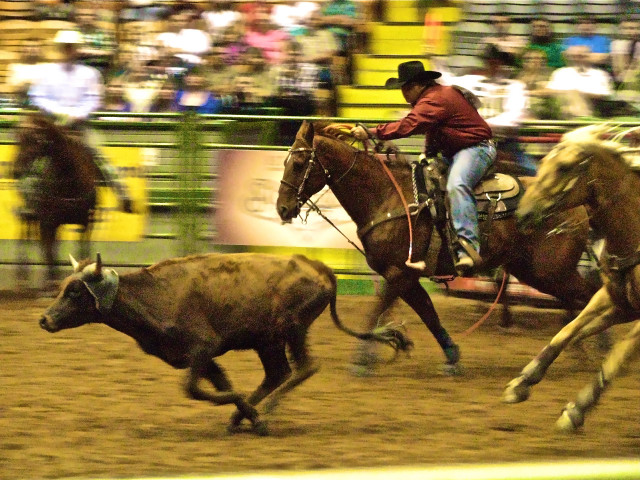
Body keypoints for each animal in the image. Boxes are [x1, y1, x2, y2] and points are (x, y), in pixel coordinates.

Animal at [12, 112, 102, 288]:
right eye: (17, 137)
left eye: (36, 139)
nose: (16, 171)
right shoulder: (47, 221)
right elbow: (49, 251)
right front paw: (50, 281)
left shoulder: (86, 222)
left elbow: (82, 249)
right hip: (30, 213)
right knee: (25, 232)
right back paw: (22, 275)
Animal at [39, 252, 412, 435]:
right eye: (64, 286)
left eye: (75, 291)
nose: (45, 320)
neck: (156, 297)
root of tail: (320, 269)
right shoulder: (202, 357)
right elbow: (222, 384)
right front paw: (247, 415)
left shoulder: (202, 347)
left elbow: (193, 389)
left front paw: (255, 418)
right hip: (266, 340)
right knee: (278, 373)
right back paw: (246, 416)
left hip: (288, 329)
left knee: (304, 367)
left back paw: (269, 409)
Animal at [276, 120, 600, 374]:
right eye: (286, 162)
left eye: (299, 164)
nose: (282, 208)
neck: (388, 196)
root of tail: (577, 202)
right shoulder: (407, 277)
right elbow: (428, 315)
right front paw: (452, 356)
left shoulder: (398, 273)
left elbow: (377, 310)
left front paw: (362, 360)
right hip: (535, 271)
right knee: (577, 300)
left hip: (551, 271)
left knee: (590, 295)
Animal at [503, 124, 640, 432]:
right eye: (542, 162)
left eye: (564, 167)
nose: (523, 214)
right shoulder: (613, 298)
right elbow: (567, 332)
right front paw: (522, 381)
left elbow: (617, 358)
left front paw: (577, 410)